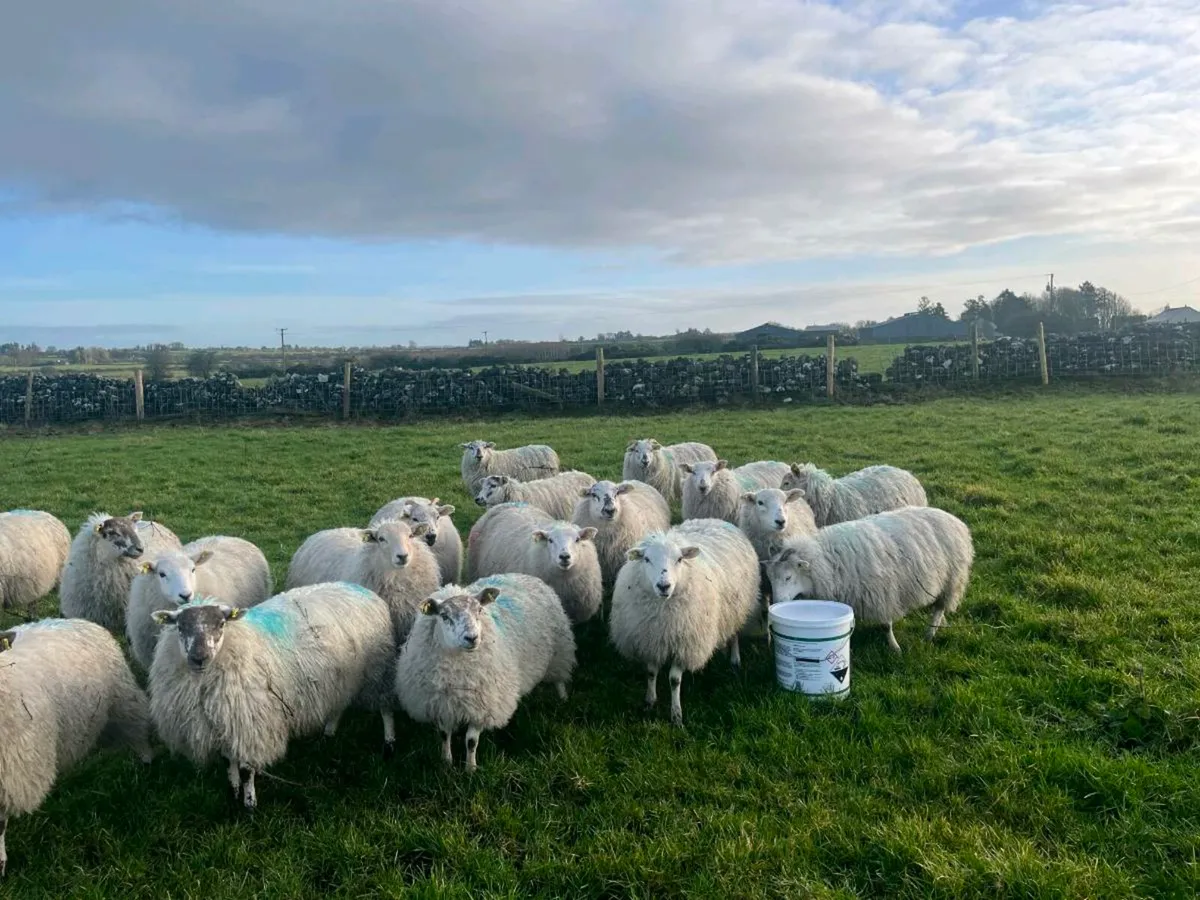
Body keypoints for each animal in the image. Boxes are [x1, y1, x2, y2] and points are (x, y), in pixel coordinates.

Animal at [148, 583, 398, 809]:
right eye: (180, 627)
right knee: (339, 703)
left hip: (378, 667)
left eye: (221, 624)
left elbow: (246, 770)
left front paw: (249, 804)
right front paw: (233, 792)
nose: (199, 658)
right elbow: (228, 761)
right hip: (340, 676)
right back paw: (329, 732)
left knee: (385, 707)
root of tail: (361, 588)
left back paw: (388, 745)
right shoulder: (225, 722)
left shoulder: (251, 725)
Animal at [395, 573, 576, 772]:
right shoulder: (441, 704)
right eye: (444, 616)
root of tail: (523, 574)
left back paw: (563, 698)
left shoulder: (482, 705)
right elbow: (444, 734)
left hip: (560, 650)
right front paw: (446, 762)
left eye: (480, 610)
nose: (472, 638)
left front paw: (470, 769)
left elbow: (471, 741)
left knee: (560, 678)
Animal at [610, 519, 760, 727]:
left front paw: (676, 716)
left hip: (737, 607)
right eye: (647, 559)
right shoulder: (650, 639)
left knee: (735, 633)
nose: (664, 586)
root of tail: (714, 520)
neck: (663, 610)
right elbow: (651, 672)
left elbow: (674, 680)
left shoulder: (684, 644)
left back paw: (734, 659)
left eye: (680, 559)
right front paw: (650, 701)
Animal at [763, 506, 973, 654]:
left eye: (788, 577)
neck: (827, 561)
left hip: (952, 579)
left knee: (939, 608)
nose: (776, 604)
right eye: (770, 580)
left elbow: (886, 624)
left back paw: (930, 633)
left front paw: (895, 648)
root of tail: (953, 519)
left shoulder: (883, 592)